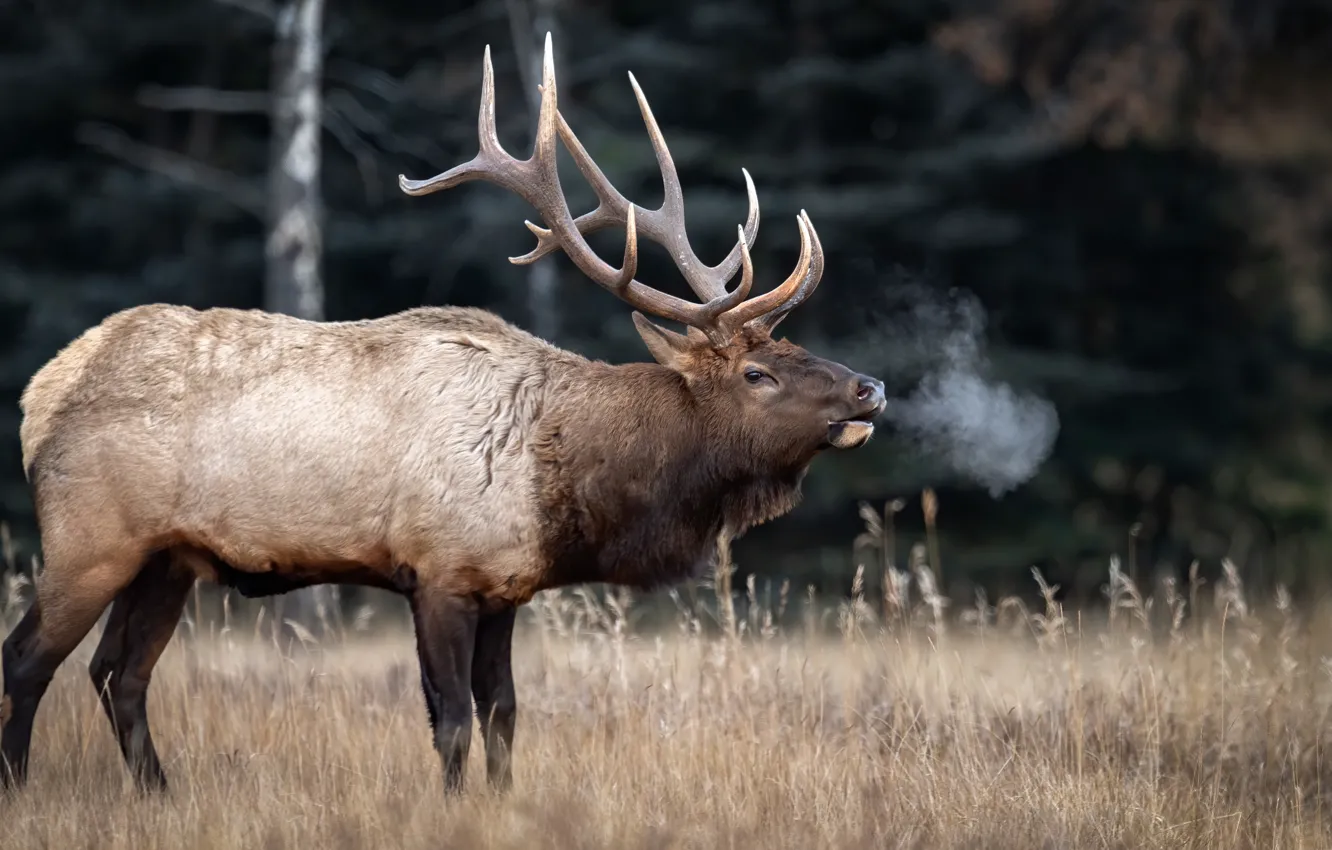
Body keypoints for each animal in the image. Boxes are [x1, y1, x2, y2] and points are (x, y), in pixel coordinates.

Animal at [0, 34, 885, 796]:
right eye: (757, 372)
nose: (870, 388)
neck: (560, 484)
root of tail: (40, 393)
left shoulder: (506, 588)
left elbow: (504, 715)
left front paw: (502, 801)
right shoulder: (438, 571)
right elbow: (452, 718)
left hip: (167, 559)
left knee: (118, 674)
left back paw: (159, 794)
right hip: (89, 539)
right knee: (28, 660)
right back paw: (22, 786)